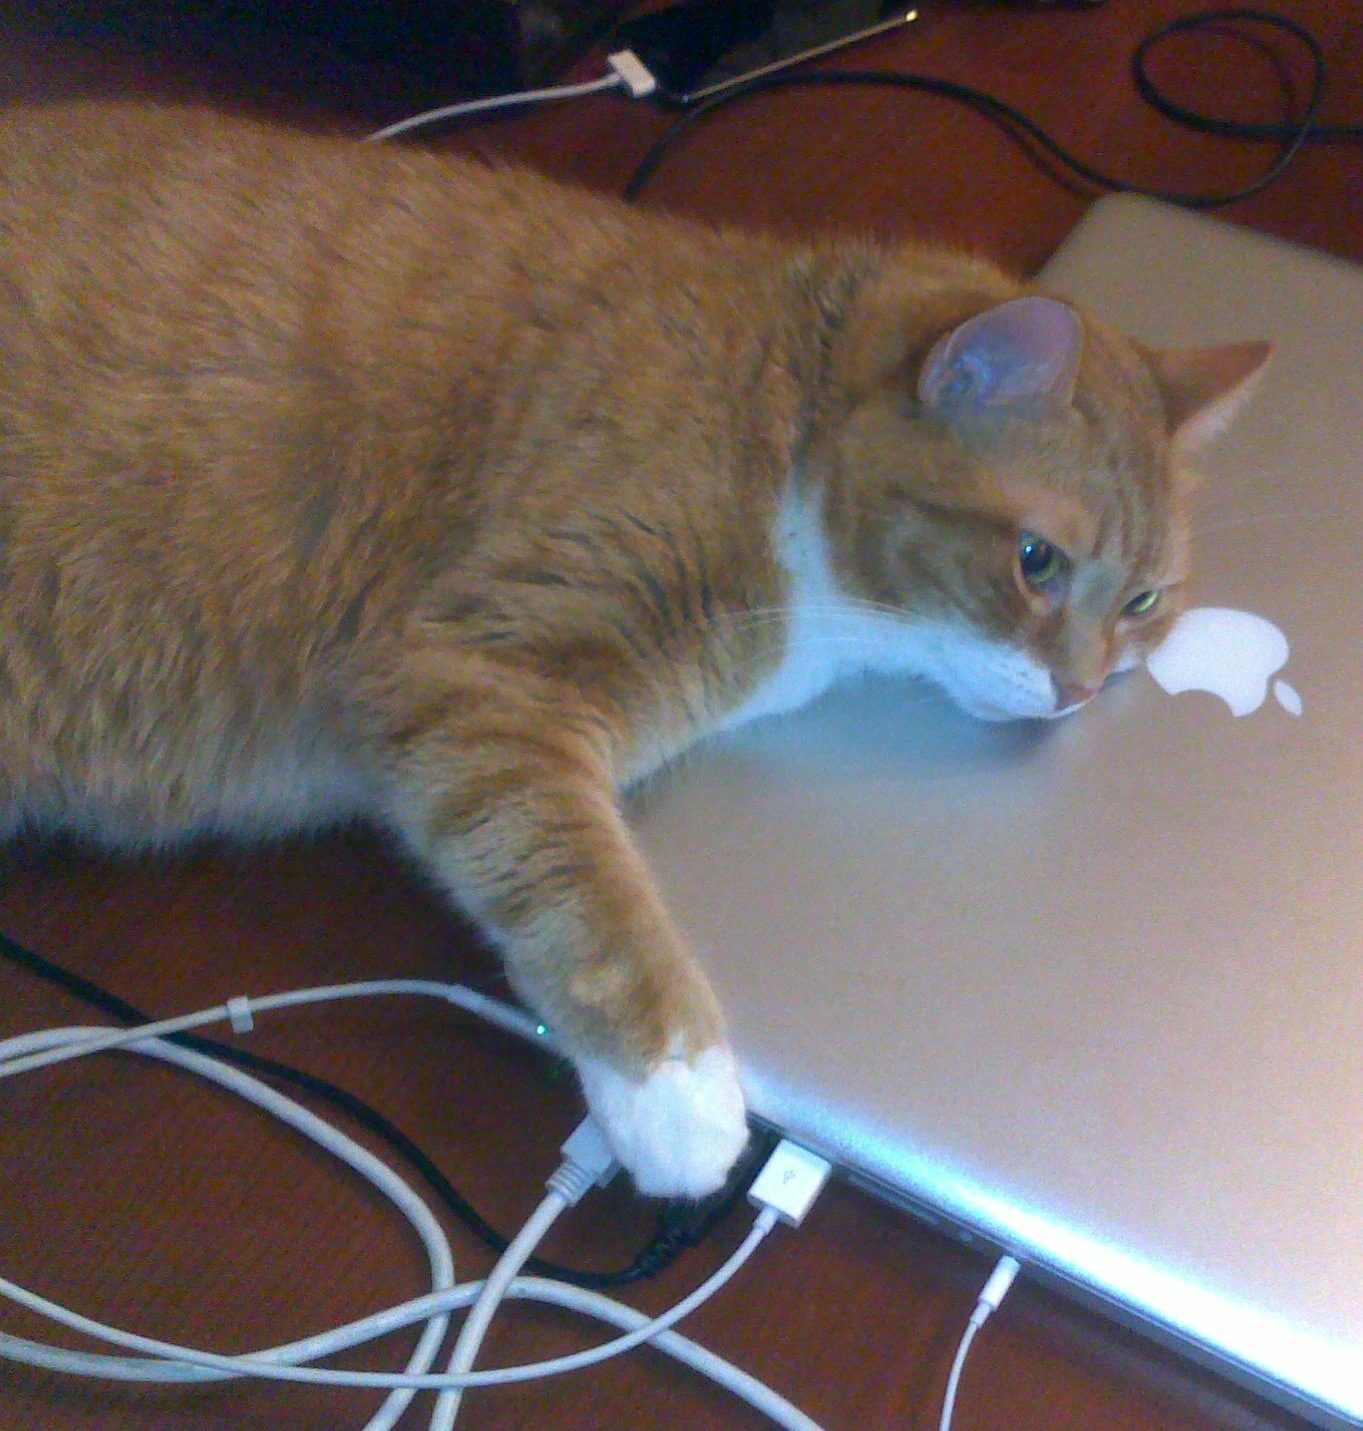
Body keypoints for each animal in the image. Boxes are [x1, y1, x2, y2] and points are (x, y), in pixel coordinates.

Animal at [0, 101, 1268, 1198]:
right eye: (1036, 562)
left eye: (1144, 600)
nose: (1077, 691)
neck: (778, 417)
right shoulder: (477, 671)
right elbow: (576, 884)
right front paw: (676, 1094)